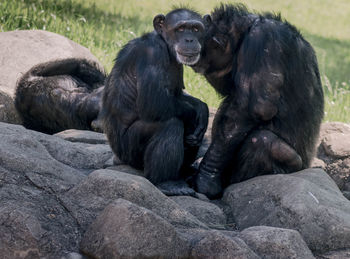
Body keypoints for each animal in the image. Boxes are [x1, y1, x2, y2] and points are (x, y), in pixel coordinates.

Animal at [101, 8, 211, 195]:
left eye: (196, 29)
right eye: (181, 29)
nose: (189, 39)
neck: (166, 45)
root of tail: (117, 158)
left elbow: (177, 96)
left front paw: (203, 109)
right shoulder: (152, 54)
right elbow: (155, 103)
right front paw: (195, 114)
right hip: (129, 151)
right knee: (171, 124)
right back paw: (167, 183)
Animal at [191, 3, 326, 199]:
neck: (246, 31)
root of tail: (308, 165)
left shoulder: (264, 41)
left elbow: (255, 108)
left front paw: (207, 179)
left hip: (292, 166)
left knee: (262, 141)